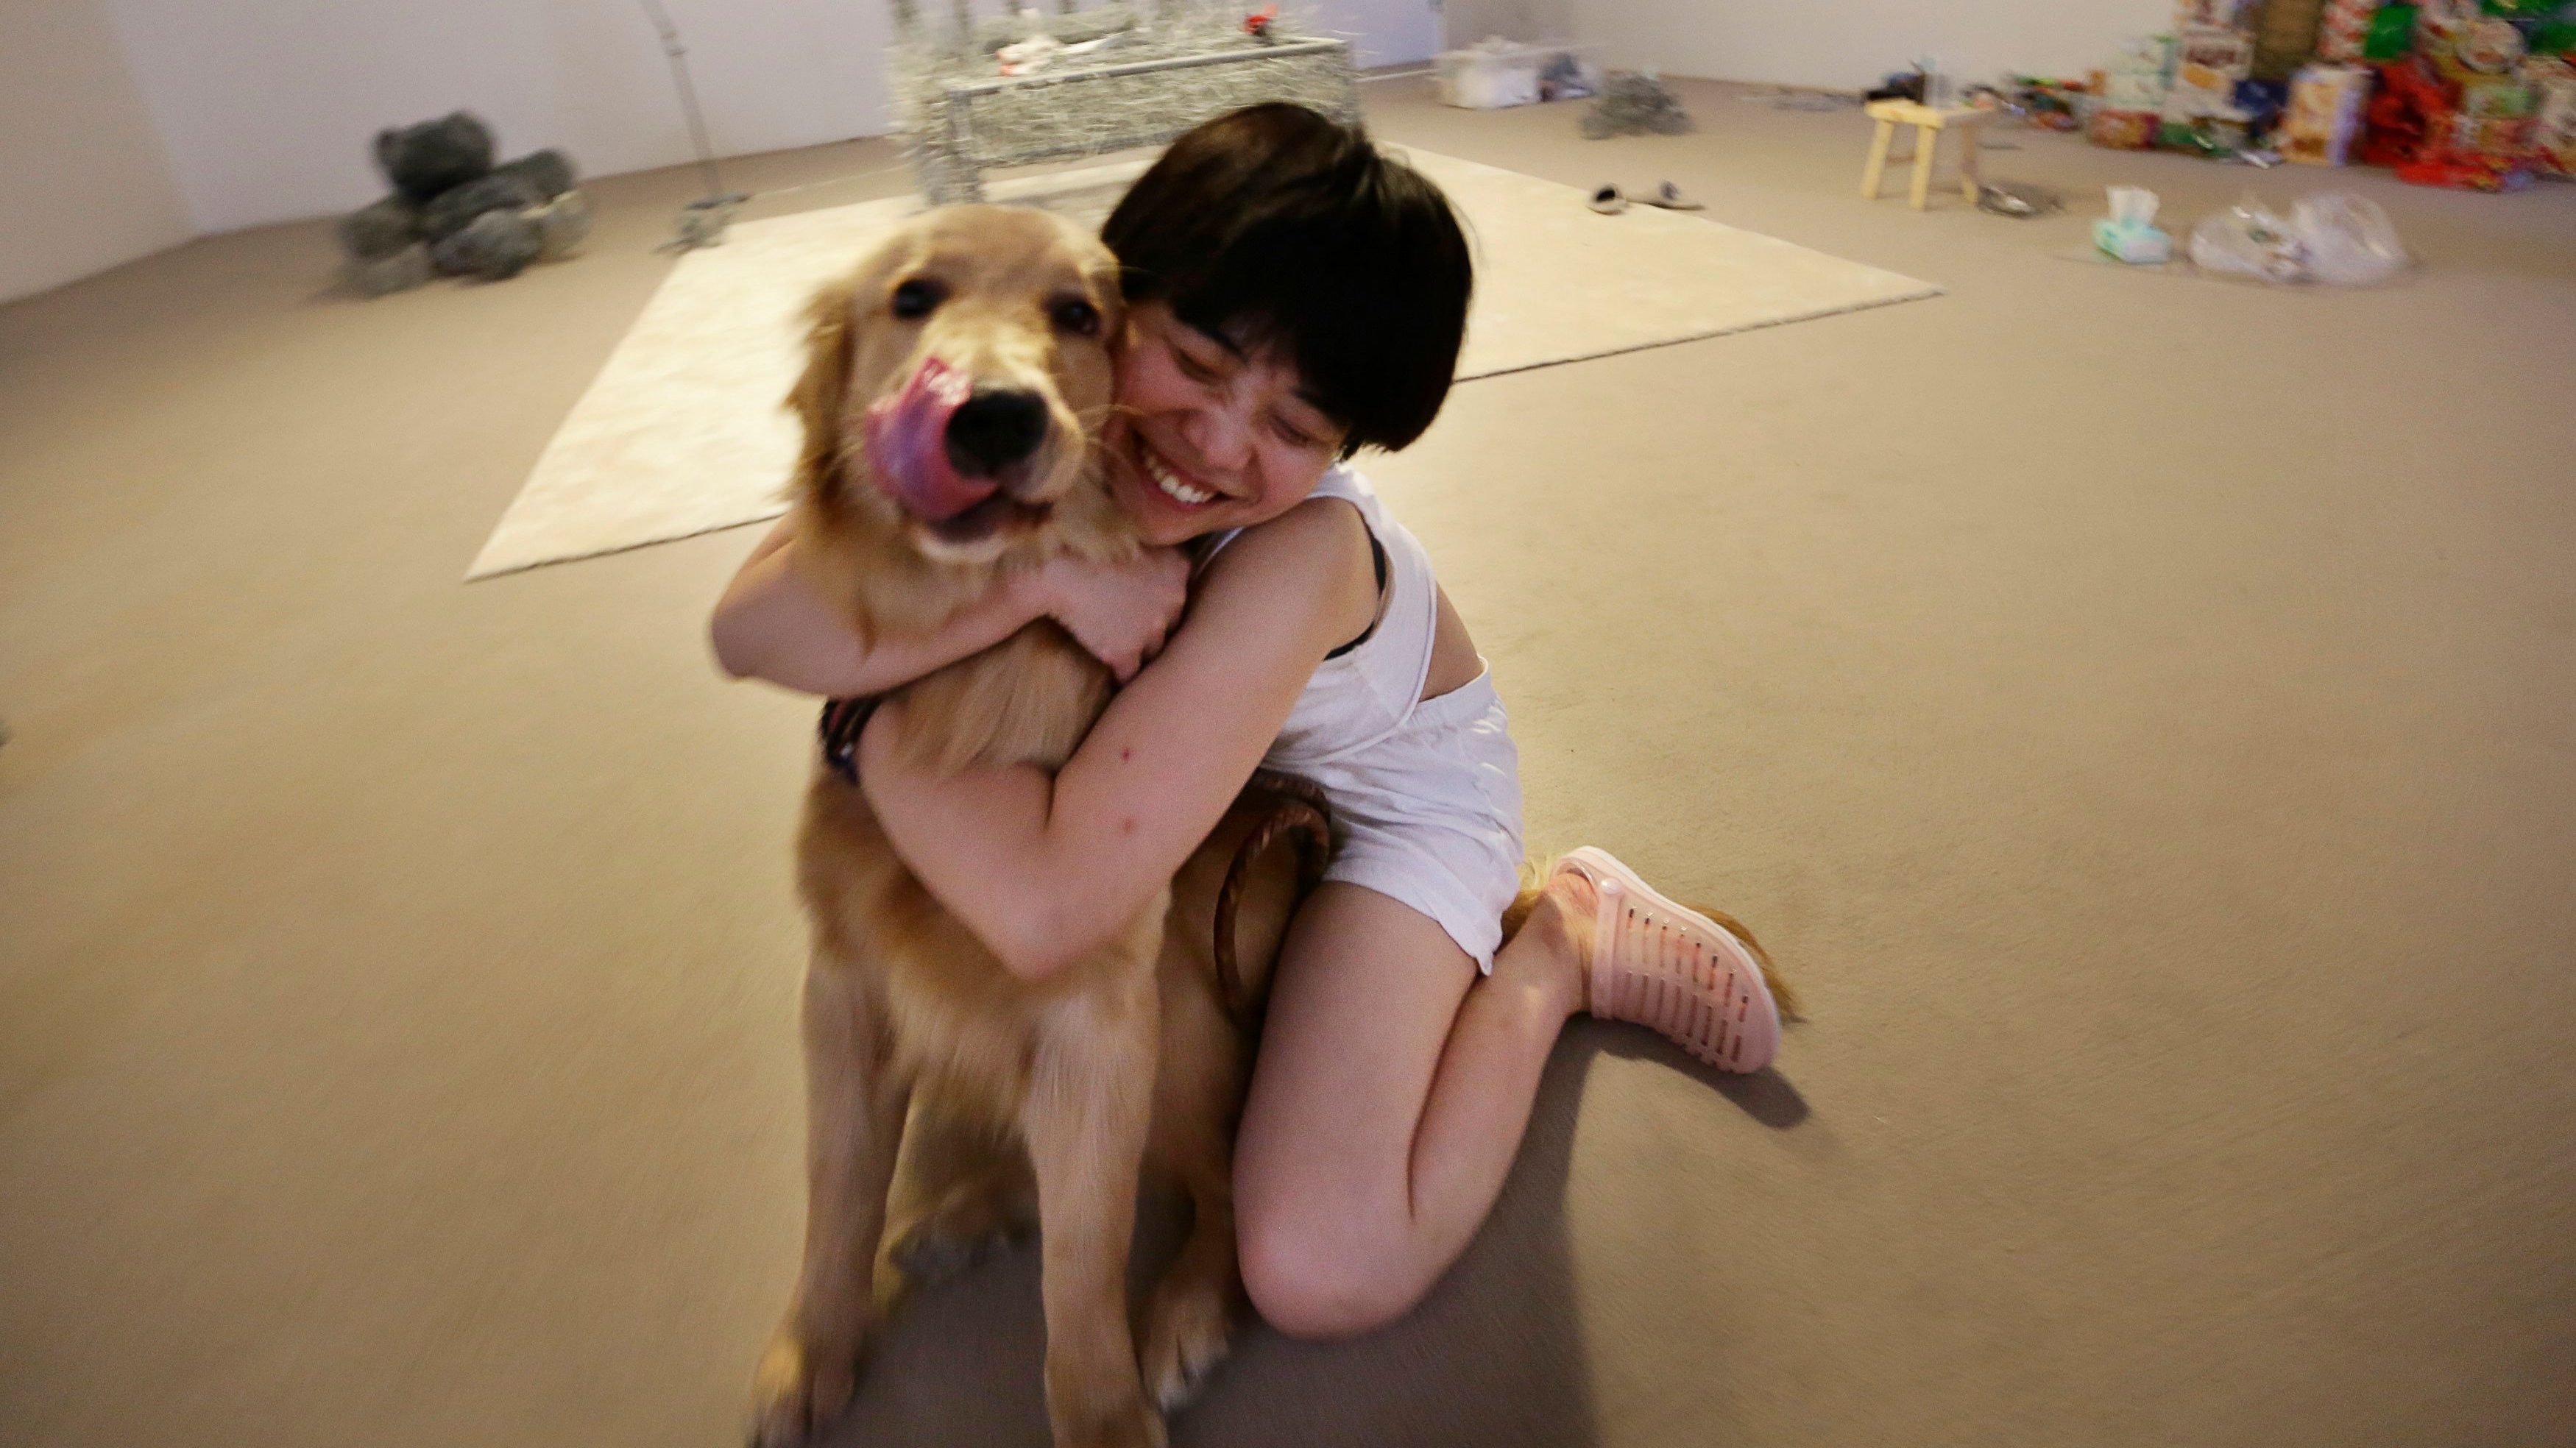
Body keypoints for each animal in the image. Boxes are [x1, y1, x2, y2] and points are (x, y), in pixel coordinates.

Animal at [742, 206, 1309, 1442]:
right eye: (912, 298)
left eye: (1080, 315)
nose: (995, 413)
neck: (972, 668)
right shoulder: (841, 985)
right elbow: (838, 1189)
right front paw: (811, 1353)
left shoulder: (1103, 1013)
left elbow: (1086, 1256)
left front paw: (1100, 1414)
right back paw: (969, 1212)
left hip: (1181, 1010)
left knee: (1214, 1182)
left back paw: (1185, 1311)